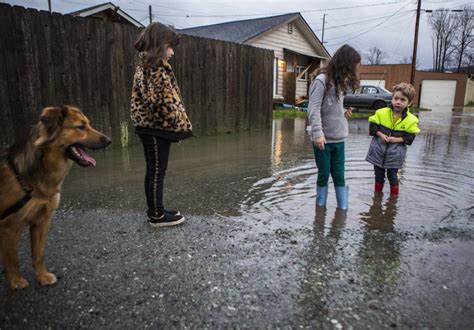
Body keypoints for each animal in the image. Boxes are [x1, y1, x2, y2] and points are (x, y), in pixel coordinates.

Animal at [0, 105, 111, 288]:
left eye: (88, 124)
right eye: (81, 127)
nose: (109, 140)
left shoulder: (41, 220)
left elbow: (39, 253)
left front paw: (42, 276)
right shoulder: (9, 227)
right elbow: (13, 259)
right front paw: (16, 281)